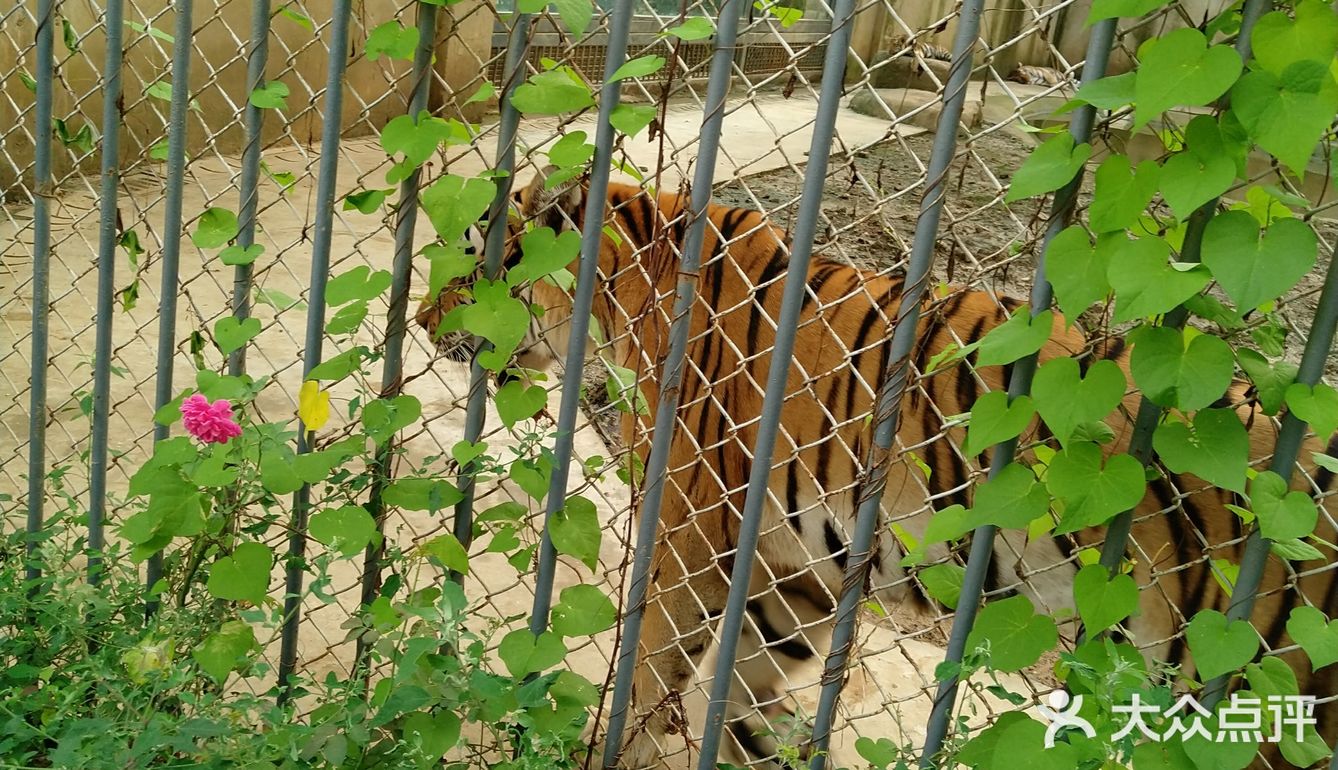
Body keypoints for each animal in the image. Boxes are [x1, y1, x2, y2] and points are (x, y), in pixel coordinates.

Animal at [414, 168, 1338, 770]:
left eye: (473, 265)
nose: (422, 322)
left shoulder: (688, 535)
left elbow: (650, 662)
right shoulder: (795, 566)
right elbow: (747, 675)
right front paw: (755, 745)